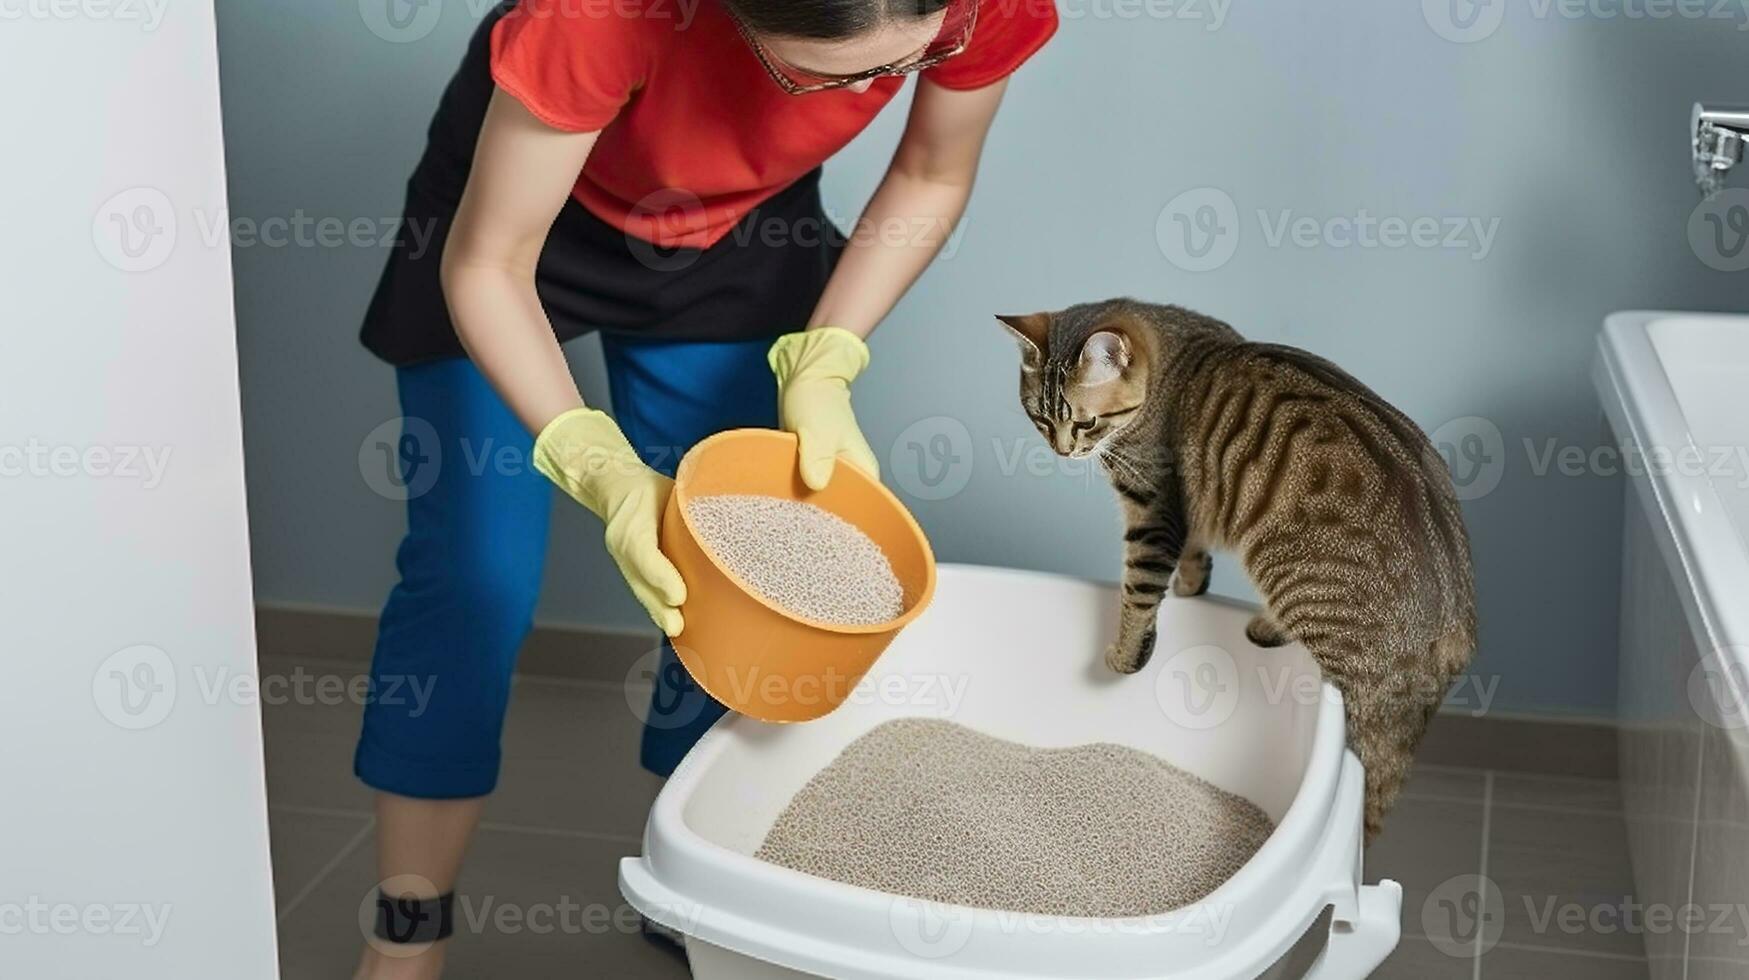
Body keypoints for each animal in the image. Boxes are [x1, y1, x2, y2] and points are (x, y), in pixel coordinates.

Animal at [1000, 299, 1476, 843]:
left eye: (1085, 422)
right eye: (1040, 417)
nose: (1060, 450)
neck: (1175, 355)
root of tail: (1454, 626)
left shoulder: (1151, 506)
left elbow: (1138, 591)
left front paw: (1126, 652)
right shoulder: (1184, 510)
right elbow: (1192, 553)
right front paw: (1191, 587)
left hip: (1301, 589)